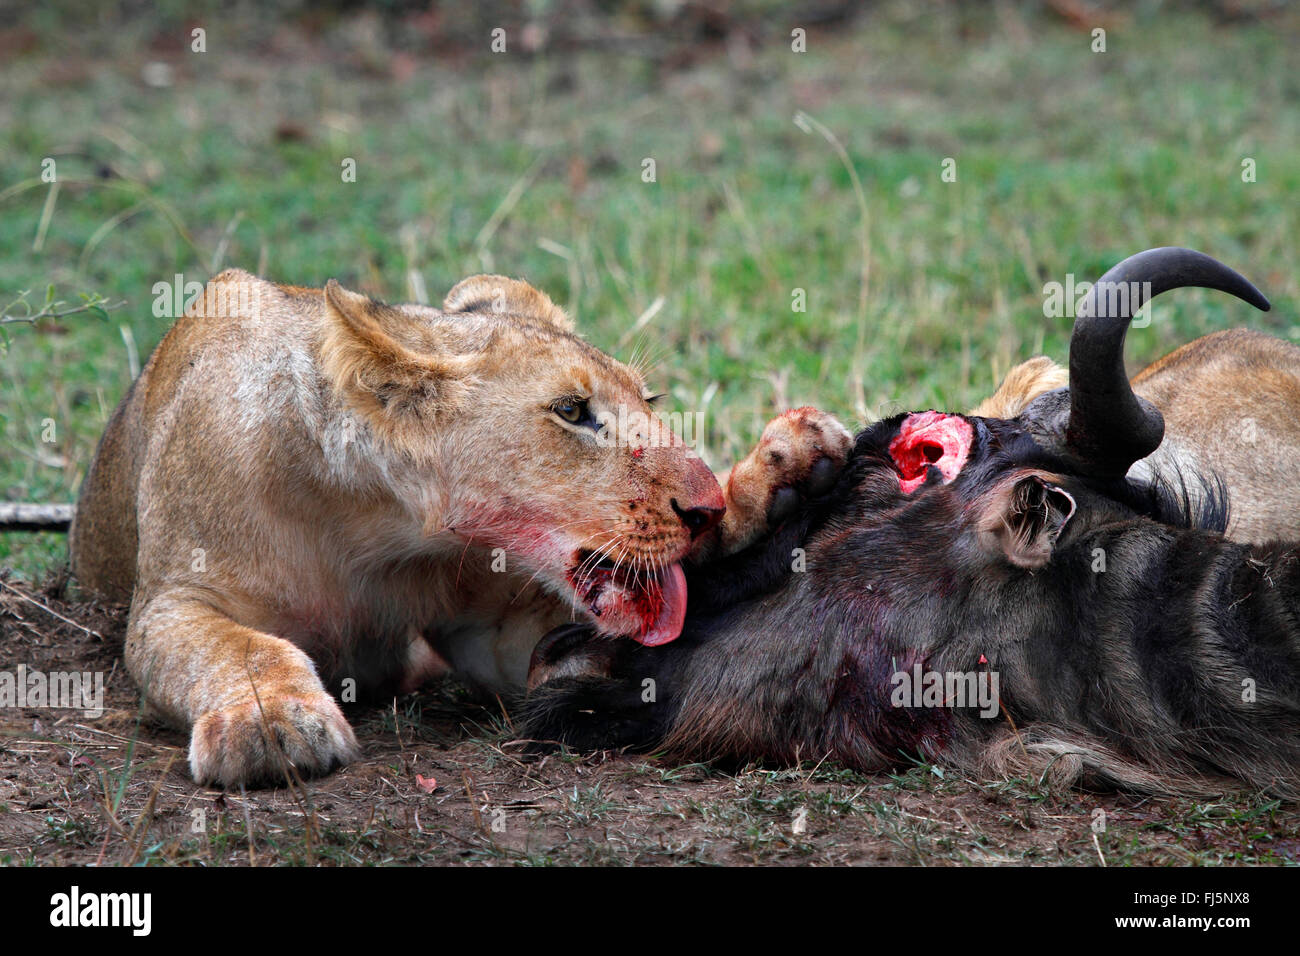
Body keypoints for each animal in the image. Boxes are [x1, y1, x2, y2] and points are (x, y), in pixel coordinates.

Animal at [69, 269, 851, 787]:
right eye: (572, 411)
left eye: (649, 401)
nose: (704, 508)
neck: (377, 528)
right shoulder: (174, 600)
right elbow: (237, 646)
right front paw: (273, 724)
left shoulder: (498, 627)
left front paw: (769, 482)